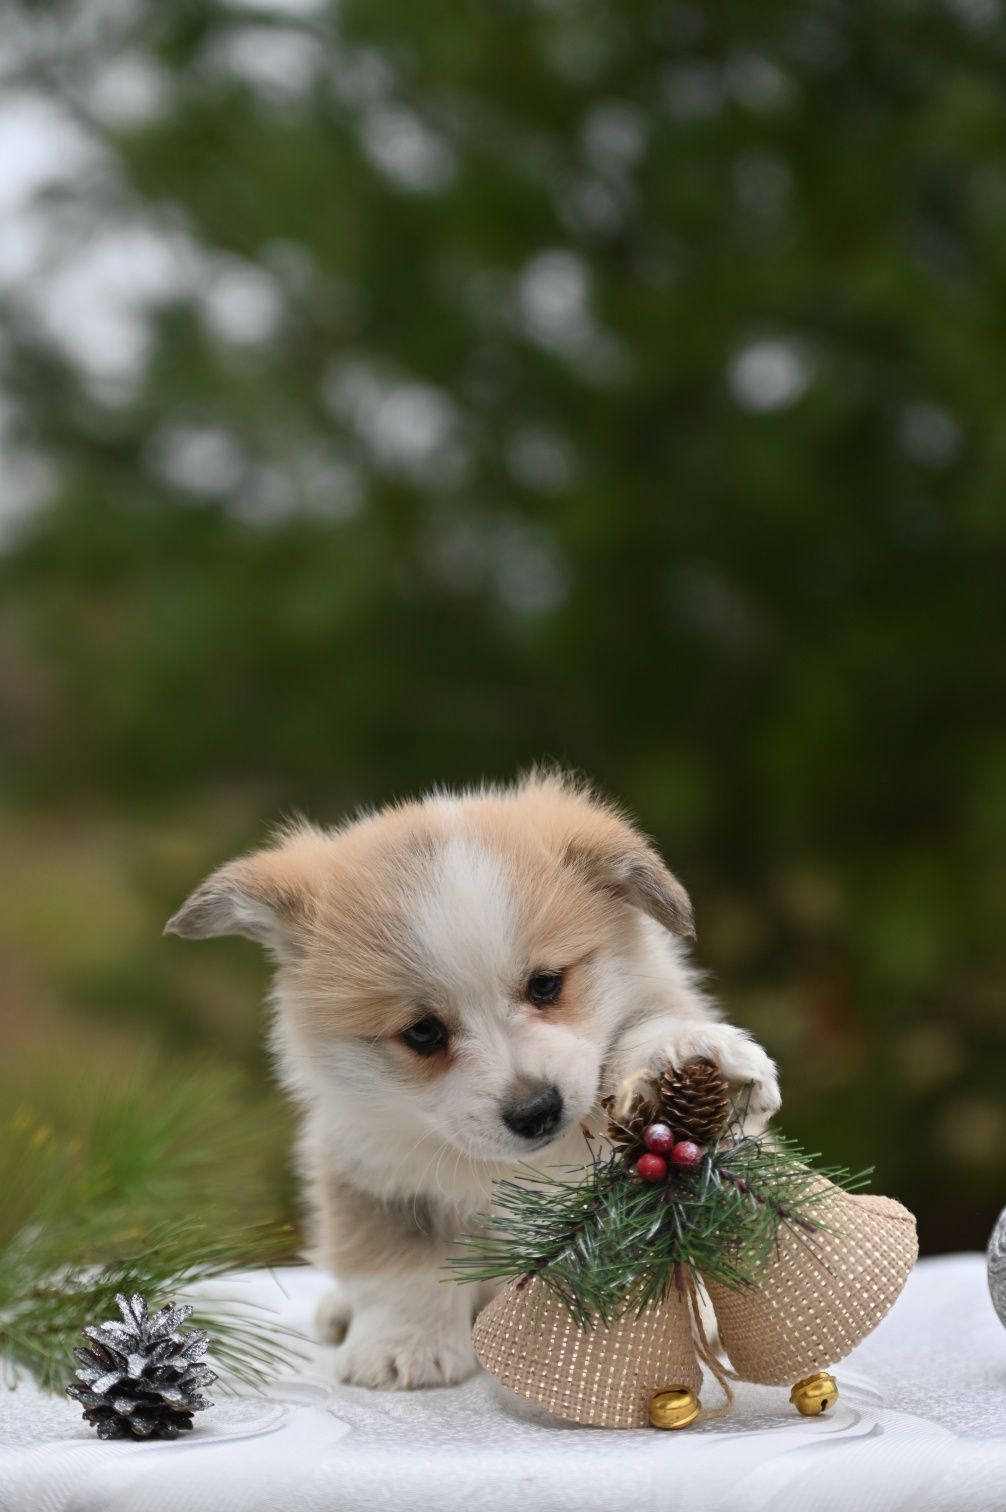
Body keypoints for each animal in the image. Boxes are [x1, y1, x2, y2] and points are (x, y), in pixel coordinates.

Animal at [166, 774, 774, 1384]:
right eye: (423, 1032)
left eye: (546, 984)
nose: (536, 1111)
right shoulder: (377, 1178)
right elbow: (401, 1268)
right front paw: (402, 1349)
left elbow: (646, 1032)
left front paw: (684, 1055)